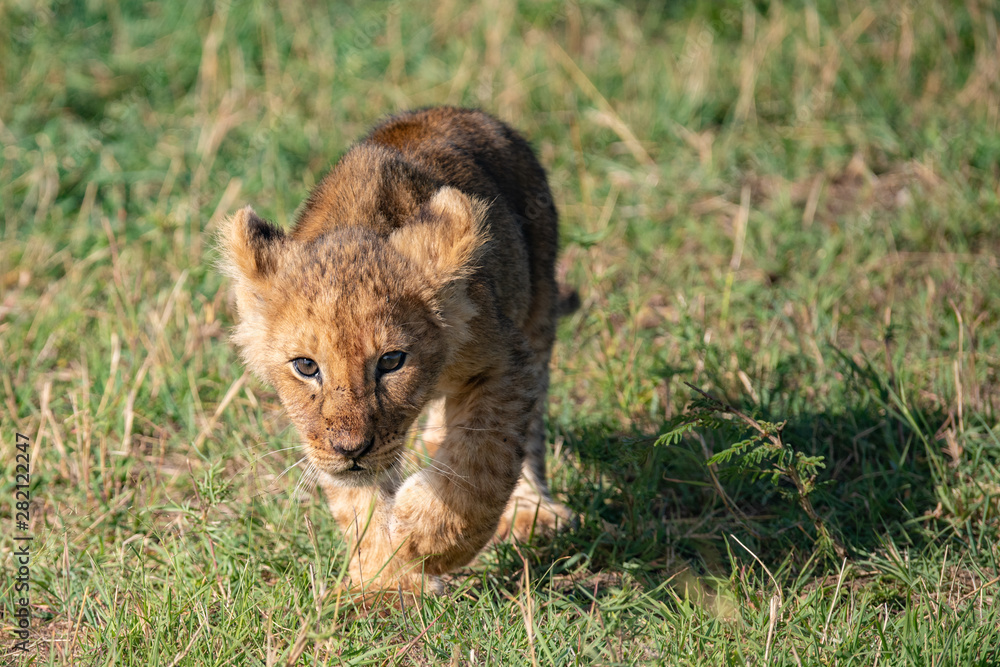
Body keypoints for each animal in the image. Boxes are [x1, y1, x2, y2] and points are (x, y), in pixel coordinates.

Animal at [219, 107, 575, 594]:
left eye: (391, 361)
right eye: (306, 366)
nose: (350, 450)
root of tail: (459, 110)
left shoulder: (503, 361)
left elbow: (483, 461)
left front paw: (426, 539)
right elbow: (358, 504)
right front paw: (386, 583)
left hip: (537, 312)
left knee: (529, 429)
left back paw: (529, 511)